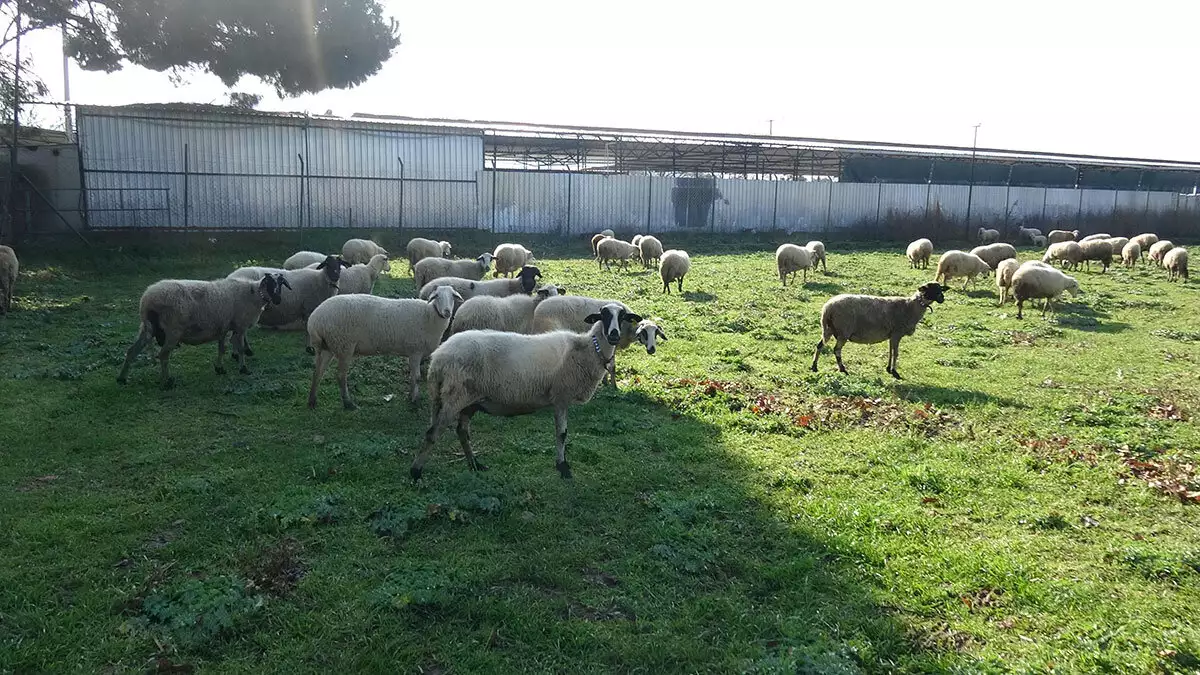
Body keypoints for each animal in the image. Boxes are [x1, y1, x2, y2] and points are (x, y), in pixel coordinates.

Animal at [115, 270, 289, 386]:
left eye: (280, 284)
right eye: (270, 284)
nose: (278, 300)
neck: (254, 294)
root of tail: (147, 300)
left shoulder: (224, 327)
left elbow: (222, 349)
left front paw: (220, 368)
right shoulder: (240, 326)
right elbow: (239, 349)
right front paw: (244, 369)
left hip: (147, 328)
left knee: (132, 350)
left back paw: (122, 378)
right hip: (172, 330)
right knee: (163, 355)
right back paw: (167, 382)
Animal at [304, 281, 463, 408]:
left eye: (452, 297)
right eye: (437, 297)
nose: (447, 312)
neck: (429, 315)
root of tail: (314, 320)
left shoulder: (412, 352)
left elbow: (412, 377)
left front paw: (410, 396)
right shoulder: (415, 351)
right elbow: (417, 377)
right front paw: (415, 400)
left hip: (328, 346)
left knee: (318, 371)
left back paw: (312, 401)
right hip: (344, 345)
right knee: (340, 376)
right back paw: (348, 403)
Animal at [408, 299, 643, 478]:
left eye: (623, 316)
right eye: (603, 315)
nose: (613, 335)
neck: (587, 349)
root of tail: (438, 358)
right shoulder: (560, 397)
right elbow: (562, 434)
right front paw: (562, 466)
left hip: (468, 400)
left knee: (462, 432)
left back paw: (474, 464)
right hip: (453, 396)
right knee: (432, 433)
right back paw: (416, 472)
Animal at [811, 281, 950, 379]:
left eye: (940, 289)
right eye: (932, 289)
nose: (942, 299)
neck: (911, 306)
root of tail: (828, 308)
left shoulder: (892, 335)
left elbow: (890, 351)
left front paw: (888, 368)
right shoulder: (897, 333)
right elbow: (896, 353)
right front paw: (894, 372)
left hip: (828, 329)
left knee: (819, 345)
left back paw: (814, 367)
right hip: (843, 331)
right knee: (836, 350)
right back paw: (843, 369)